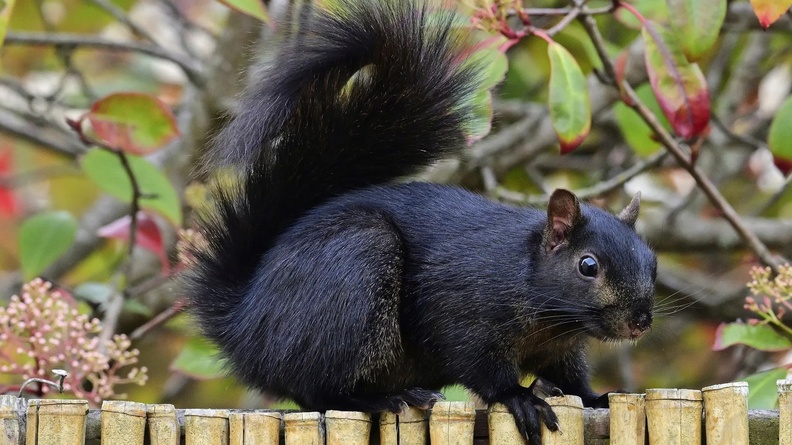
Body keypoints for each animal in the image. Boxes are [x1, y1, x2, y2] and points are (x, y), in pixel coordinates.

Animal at [185, 1, 657, 444]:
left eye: (653, 263)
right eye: (588, 266)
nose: (640, 322)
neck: (548, 312)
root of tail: (244, 324)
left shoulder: (562, 348)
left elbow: (570, 377)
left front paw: (594, 397)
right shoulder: (462, 312)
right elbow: (479, 364)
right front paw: (519, 397)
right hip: (354, 267)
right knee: (314, 391)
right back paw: (384, 398)